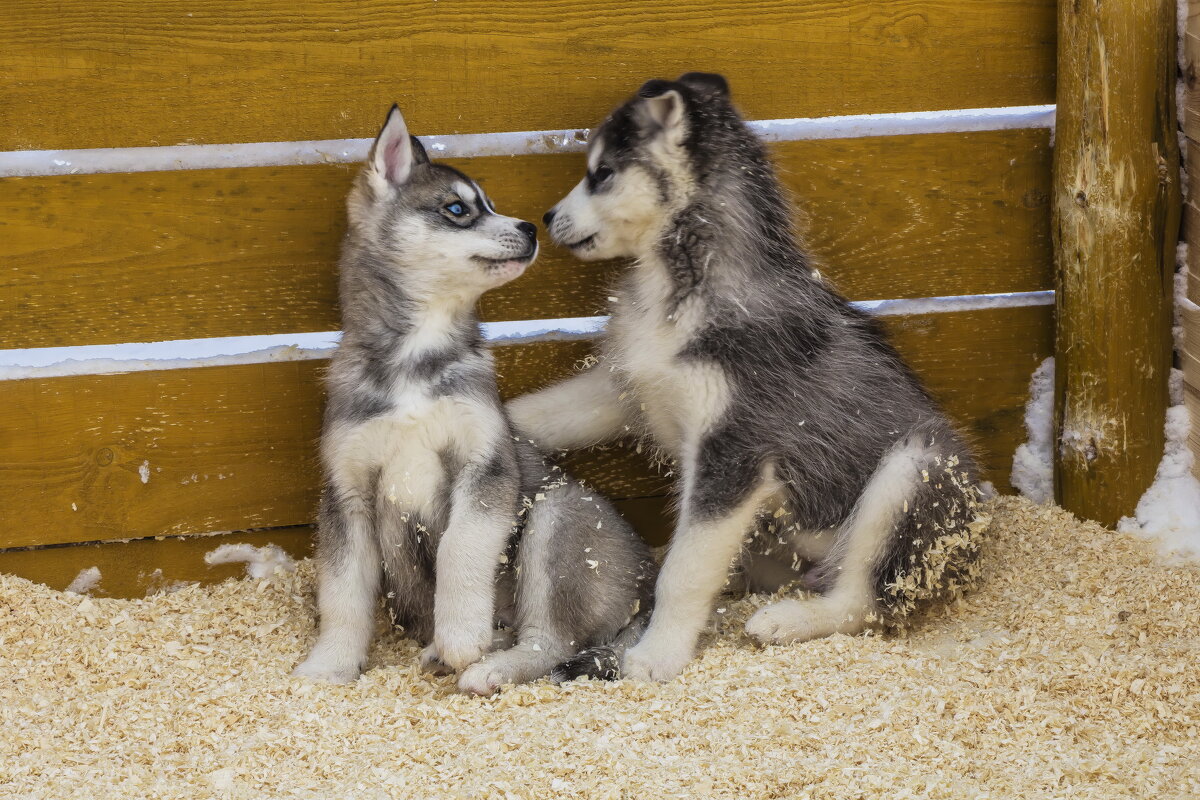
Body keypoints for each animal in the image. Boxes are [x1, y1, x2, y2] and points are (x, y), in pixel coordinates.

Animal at [296, 106, 662, 695]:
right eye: (457, 209)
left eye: (487, 203)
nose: (531, 227)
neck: (416, 361)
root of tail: (650, 588)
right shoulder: (345, 493)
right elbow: (342, 593)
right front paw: (329, 664)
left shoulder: (486, 469)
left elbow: (460, 550)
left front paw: (461, 636)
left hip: (557, 517)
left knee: (549, 642)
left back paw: (487, 665)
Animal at [511, 73, 988, 681]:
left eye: (602, 173)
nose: (546, 219)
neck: (684, 287)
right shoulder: (630, 388)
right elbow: (545, 412)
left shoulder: (733, 455)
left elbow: (684, 570)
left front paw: (657, 655)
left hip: (915, 469)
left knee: (865, 601)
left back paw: (787, 620)